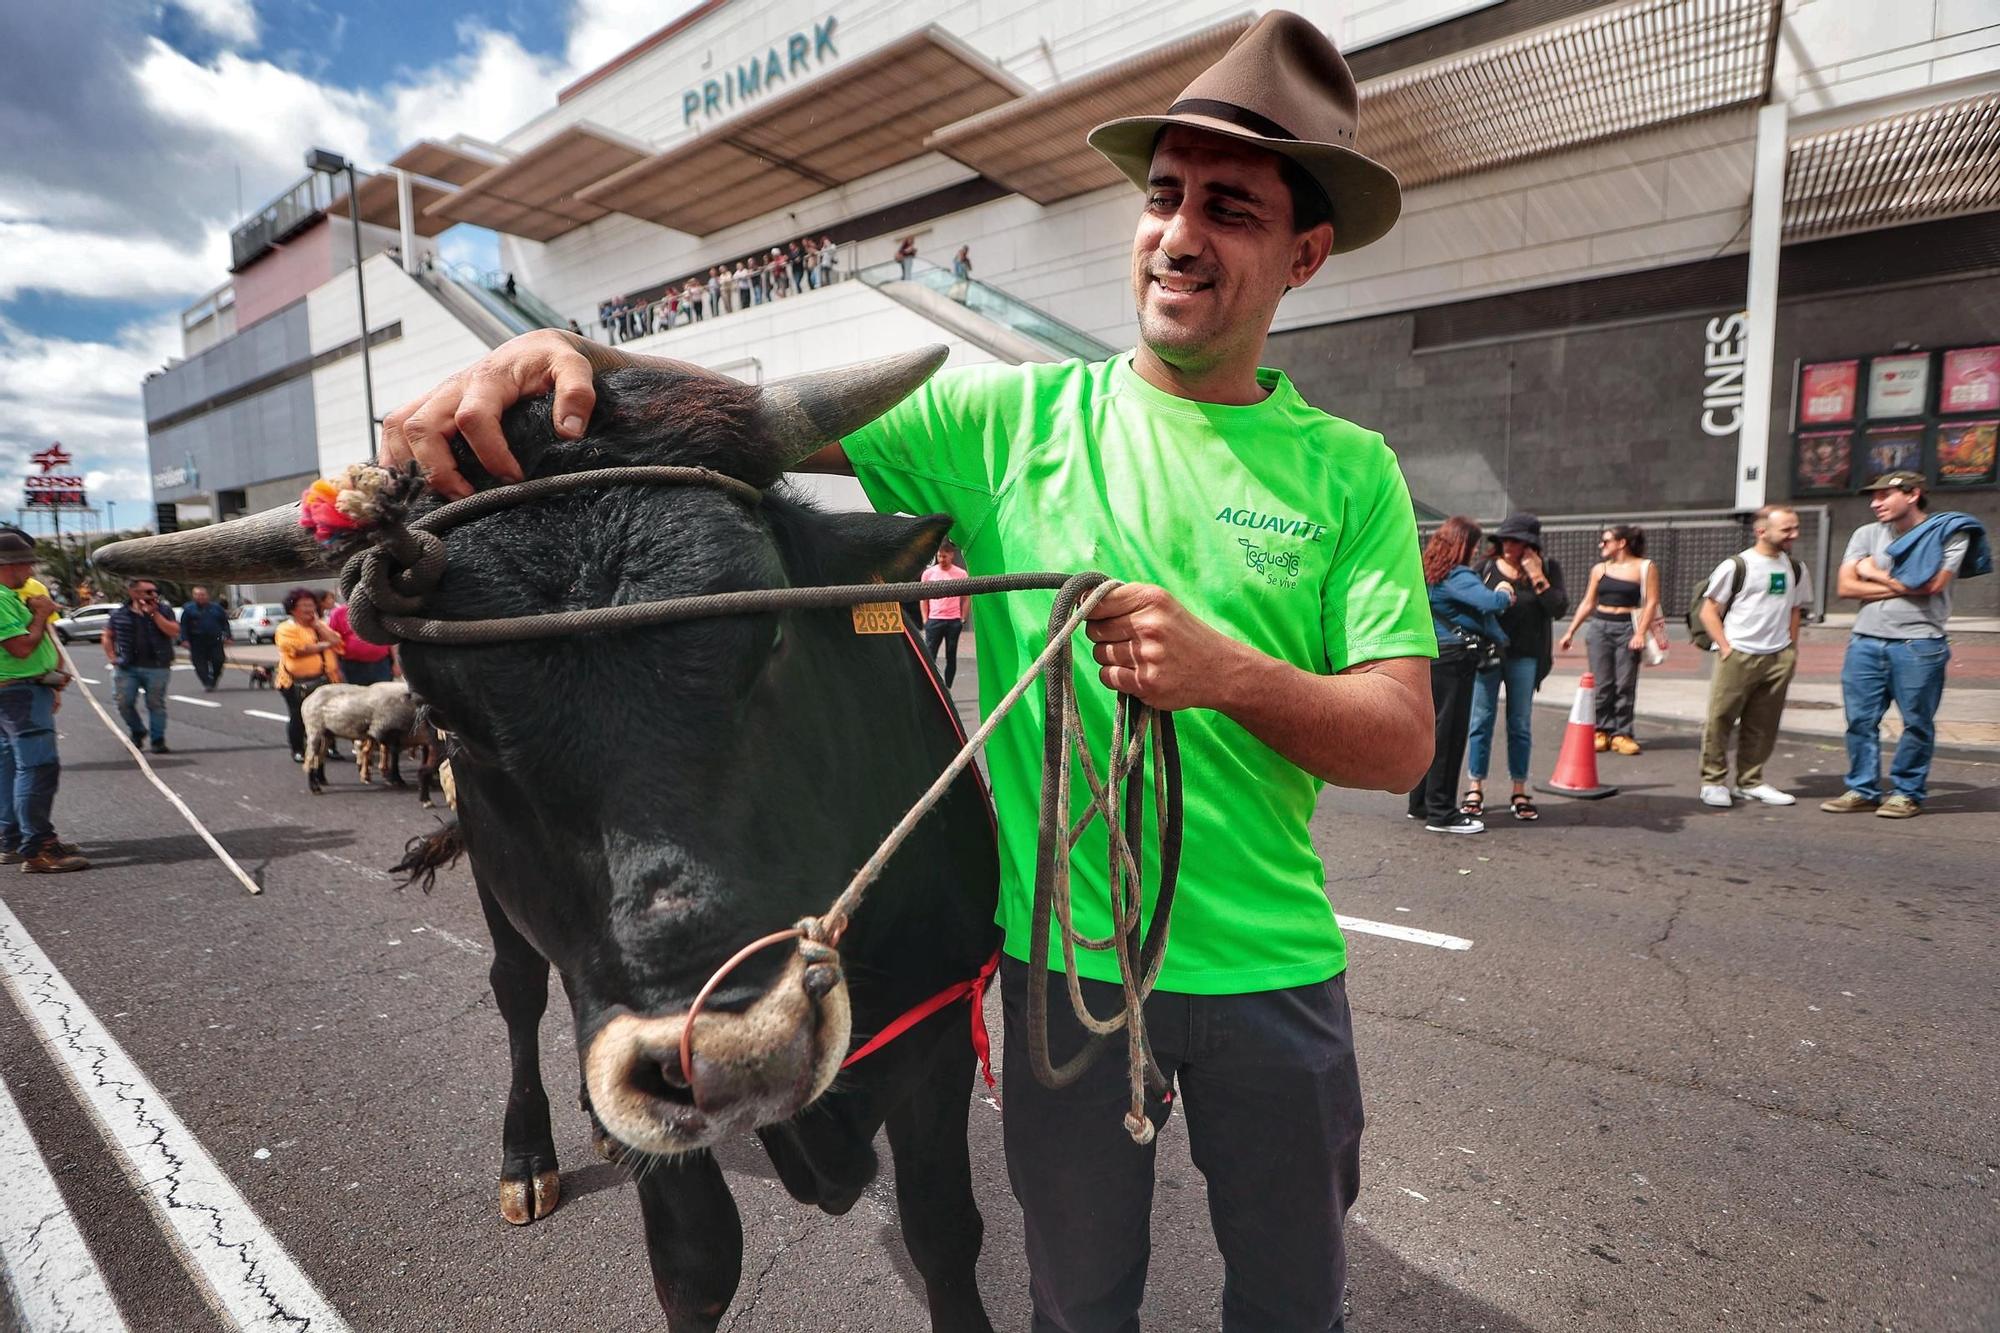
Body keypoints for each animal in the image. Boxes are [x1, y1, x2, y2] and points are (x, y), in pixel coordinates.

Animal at [94, 348, 1000, 1328]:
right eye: (447, 714)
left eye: (775, 636)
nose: (732, 1049)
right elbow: (696, 1263)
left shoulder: (944, 1026)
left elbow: (944, 1228)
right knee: (520, 992)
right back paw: (528, 1157)